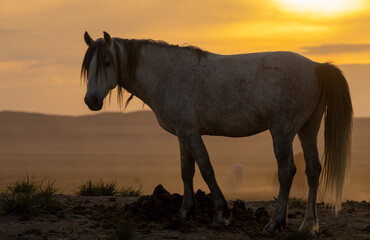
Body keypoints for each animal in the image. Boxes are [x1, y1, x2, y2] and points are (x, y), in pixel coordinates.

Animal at [81, 31, 352, 237]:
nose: (91, 100)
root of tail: (316, 67)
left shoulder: (191, 133)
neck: (168, 74)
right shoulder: (183, 134)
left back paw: (273, 224)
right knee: (313, 170)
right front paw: (185, 212)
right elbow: (186, 171)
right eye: (88, 66)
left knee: (287, 173)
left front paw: (221, 214)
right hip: (308, 129)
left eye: (107, 63)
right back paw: (308, 225)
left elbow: (206, 169)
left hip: (282, 132)